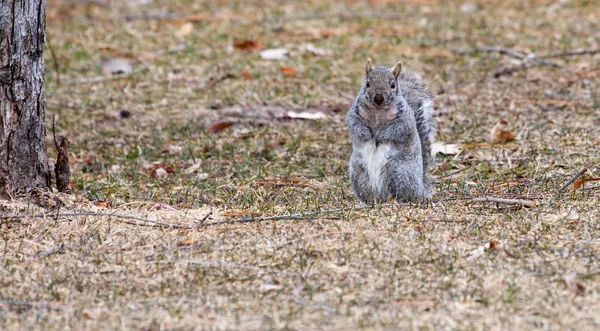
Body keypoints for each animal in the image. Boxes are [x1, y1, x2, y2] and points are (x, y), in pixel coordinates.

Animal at [346, 60, 436, 204]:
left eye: (393, 85)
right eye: (367, 83)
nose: (378, 98)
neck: (378, 111)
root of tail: (421, 189)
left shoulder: (405, 119)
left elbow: (398, 130)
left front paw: (381, 136)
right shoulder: (354, 113)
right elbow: (353, 124)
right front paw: (366, 133)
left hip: (398, 170)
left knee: (402, 193)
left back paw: (395, 200)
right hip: (358, 172)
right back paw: (371, 201)